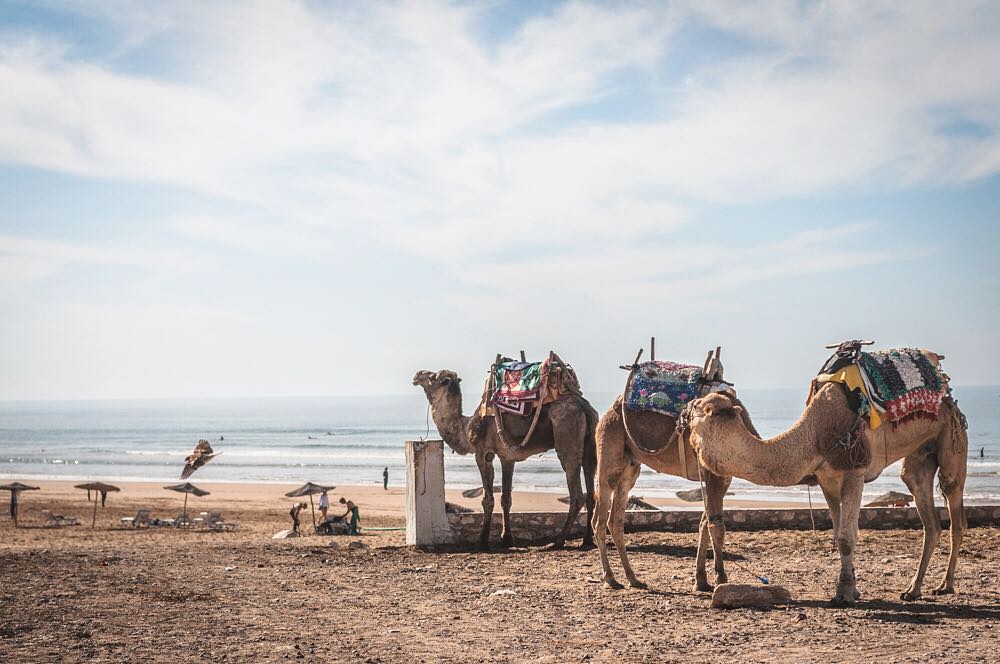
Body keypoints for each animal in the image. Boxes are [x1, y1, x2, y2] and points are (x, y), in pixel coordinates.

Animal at [412, 366, 596, 548]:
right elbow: (506, 498)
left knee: (577, 493)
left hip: (566, 433)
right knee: (591, 488)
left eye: (432, 377)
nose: (417, 374)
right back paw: (587, 540)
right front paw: (506, 538)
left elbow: (488, 499)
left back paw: (557, 542)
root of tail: (583, 406)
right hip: (590, 443)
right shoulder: (507, 457)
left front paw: (483, 540)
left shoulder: (483, 453)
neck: (466, 427)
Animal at [592, 348, 756, 592]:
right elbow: (716, 524)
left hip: (630, 465)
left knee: (616, 519)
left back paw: (633, 578)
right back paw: (611, 579)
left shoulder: (723, 478)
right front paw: (720, 578)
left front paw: (701, 580)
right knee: (600, 519)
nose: (687, 421)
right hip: (610, 445)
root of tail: (610, 410)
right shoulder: (714, 475)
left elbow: (704, 523)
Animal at [692, 352, 964, 608]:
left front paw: (844, 594)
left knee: (954, 505)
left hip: (951, 435)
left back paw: (946, 585)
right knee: (926, 511)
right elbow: (837, 533)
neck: (815, 435)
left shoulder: (855, 470)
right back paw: (913, 589)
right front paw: (852, 587)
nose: (688, 407)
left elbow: (846, 537)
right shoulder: (827, 479)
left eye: (700, 409)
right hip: (919, 455)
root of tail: (947, 393)